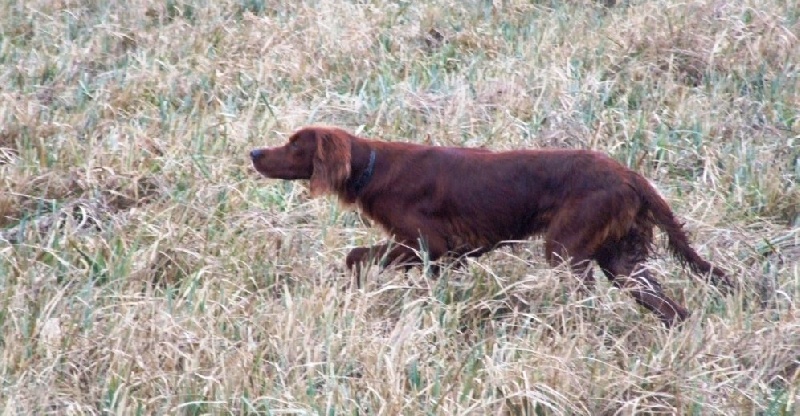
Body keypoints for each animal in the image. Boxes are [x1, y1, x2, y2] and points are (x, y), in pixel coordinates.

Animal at [250, 125, 732, 326]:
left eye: (294, 144)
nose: (254, 152)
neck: (373, 167)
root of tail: (629, 175)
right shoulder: (440, 252)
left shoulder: (430, 244)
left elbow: (358, 255)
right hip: (623, 262)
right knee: (671, 309)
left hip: (566, 250)